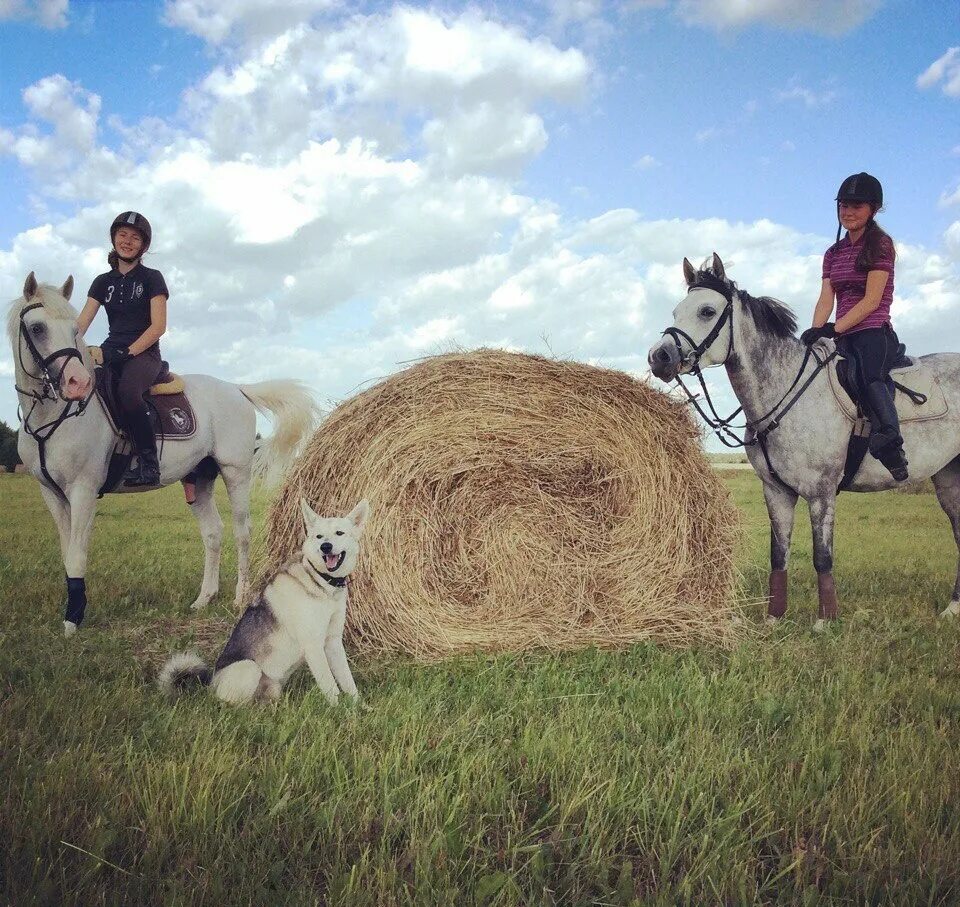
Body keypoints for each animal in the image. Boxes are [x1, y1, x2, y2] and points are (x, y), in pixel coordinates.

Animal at [8, 274, 318, 636]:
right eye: (38, 328)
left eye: (75, 330)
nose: (77, 384)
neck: (54, 417)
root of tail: (236, 388)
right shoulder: (52, 493)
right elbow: (66, 552)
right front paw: (73, 611)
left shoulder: (83, 490)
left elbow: (77, 554)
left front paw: (73, 620)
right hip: (198, 479)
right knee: (213, 533)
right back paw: (204, 598)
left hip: (236, 472)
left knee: (242, 532)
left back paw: (240, 597)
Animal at [159, 500, 370, 704]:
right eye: (319, 536)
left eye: (339, 533)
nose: (325, 547)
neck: (321, 581)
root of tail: (210, 684)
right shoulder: (314, 646)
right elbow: (330, 686)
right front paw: (338, 709)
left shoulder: (333, 642)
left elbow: (348, 681)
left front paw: (358, 706)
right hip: (249, 668)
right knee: (231, 704)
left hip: (273, 687)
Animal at [648, 252, 960, 628]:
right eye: (676, 312)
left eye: (707, 311)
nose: (659, 357)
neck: (783, 391)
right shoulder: (776, 492)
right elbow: (778, 554)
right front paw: (773, 618)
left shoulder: (821, 493)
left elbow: (822, 556)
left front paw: (825, 621)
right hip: (948, 478)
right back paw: (952, 608)